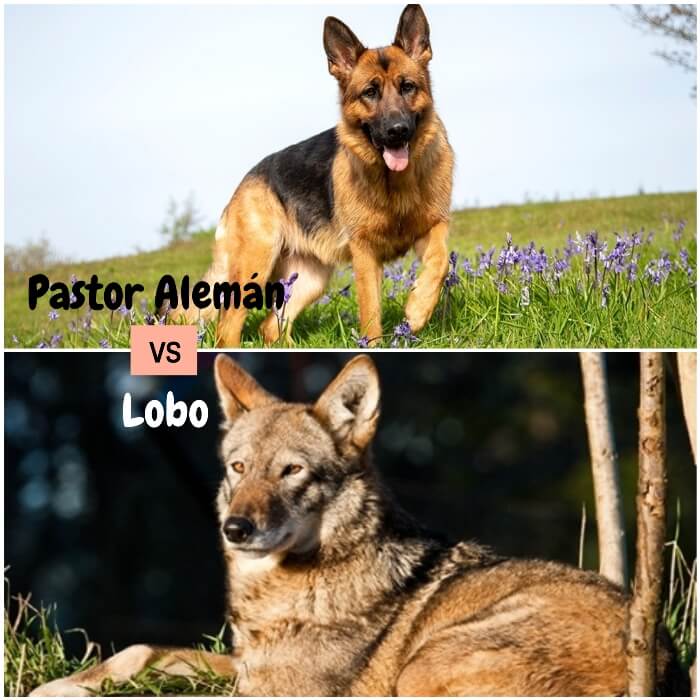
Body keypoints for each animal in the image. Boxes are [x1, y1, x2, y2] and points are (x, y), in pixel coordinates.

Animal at [30, 352, 688, 696]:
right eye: (239, 468)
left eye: (291, 471)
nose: (235, 529)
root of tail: (661, 667)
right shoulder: (248, 667)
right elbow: (141, 650)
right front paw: (59, 687)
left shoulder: (275, 690)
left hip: (422, 668)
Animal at [178, 4, 454, 344]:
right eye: (370, 92)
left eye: (408, 87)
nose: (397, 130)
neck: (395, 182)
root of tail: (244, 182)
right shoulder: (365, 254)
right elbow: (371, 313)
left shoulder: (435, 225)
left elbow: (440, 261)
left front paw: (417, 309)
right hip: (254, 266)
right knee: (227, 326)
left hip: (310, 279)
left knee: (271, 326)